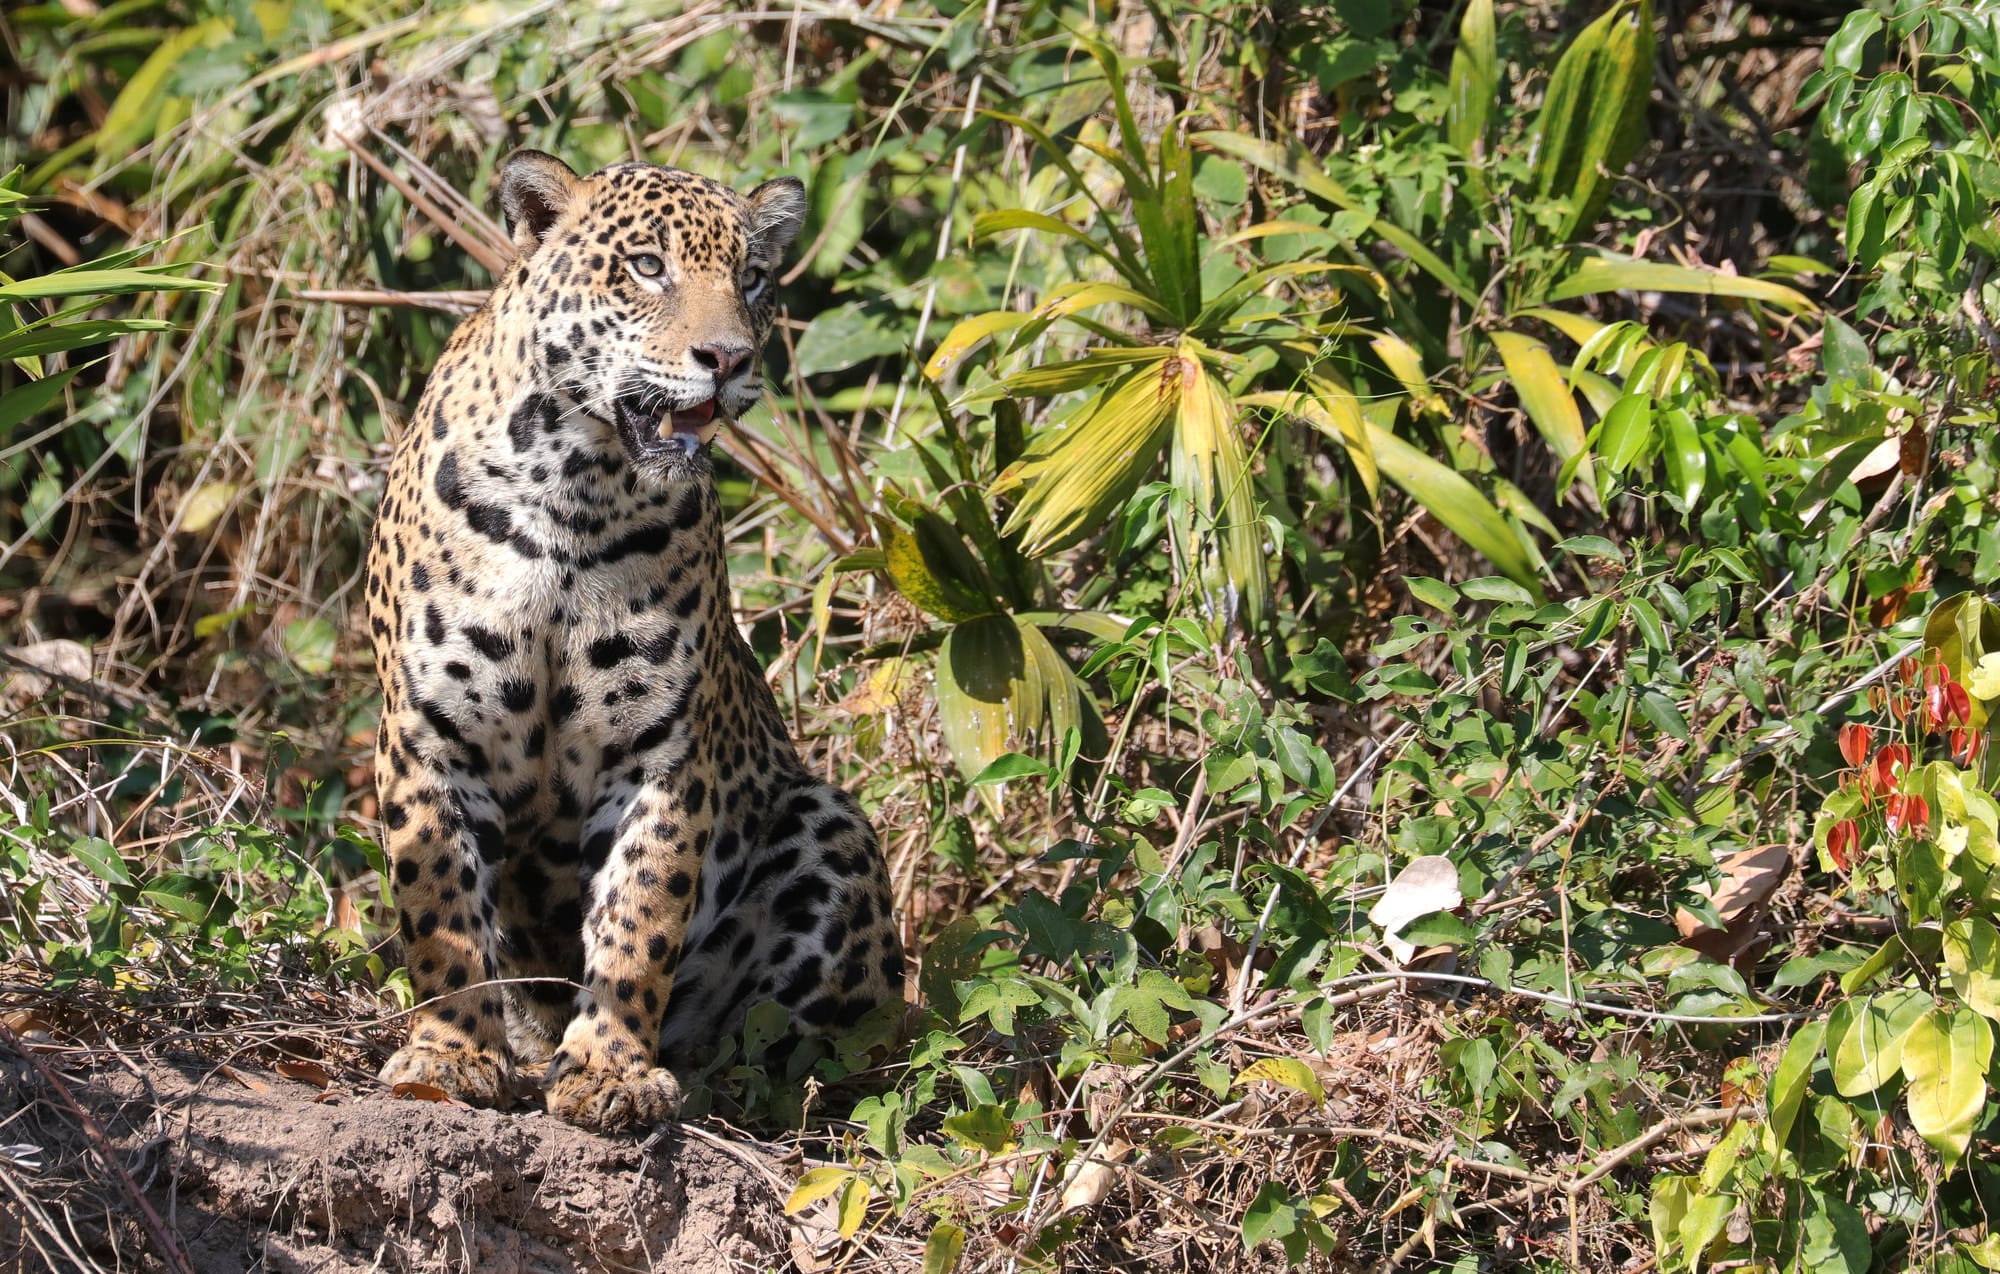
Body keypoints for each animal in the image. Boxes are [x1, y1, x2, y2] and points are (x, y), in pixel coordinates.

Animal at [363, 149, 904, 1134]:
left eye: (752, 277)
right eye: (648, 268)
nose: (728, 359)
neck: (576, 490)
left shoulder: (661, 752)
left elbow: (639, 917)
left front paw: (610, 1069)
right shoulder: (430, 736)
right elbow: (442, 911)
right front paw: (451, 1055)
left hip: (830, 825)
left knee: (808, 1048)